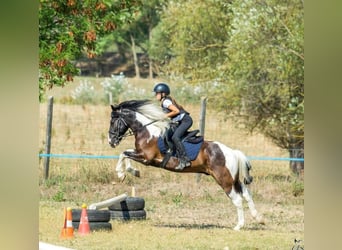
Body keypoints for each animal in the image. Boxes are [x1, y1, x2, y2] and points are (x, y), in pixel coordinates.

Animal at [108, 99, 264, 230]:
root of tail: (232, 152)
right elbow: (124, 153)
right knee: (246, 193)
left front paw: (123, 173)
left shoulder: (146, 158)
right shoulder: (141, 155)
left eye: (113, 121)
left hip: (224, 179)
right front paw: (129, 172)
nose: (111, 142)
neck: (146, 132)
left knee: (237, 199)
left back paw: (239, 226)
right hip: (233, 179)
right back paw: (258, 218)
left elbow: (124, 154)